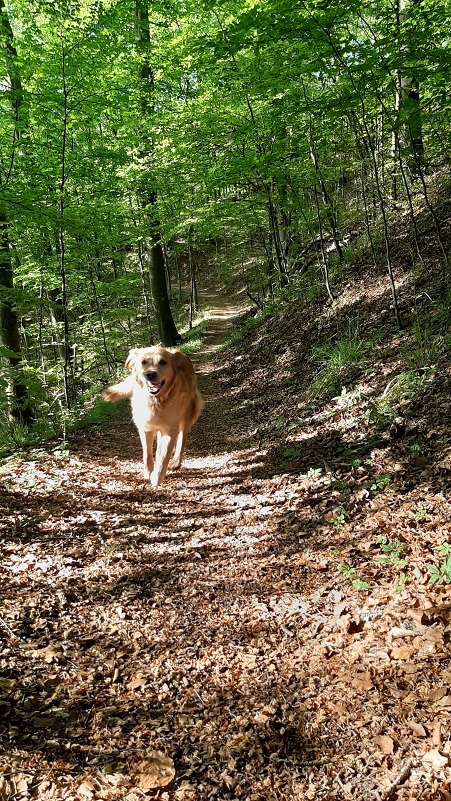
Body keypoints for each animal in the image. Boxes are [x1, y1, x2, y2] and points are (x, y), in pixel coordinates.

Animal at [103, 346, 204, 484]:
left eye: (163, 362)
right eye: (143, 362)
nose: (150, 374)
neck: (157, 400)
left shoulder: (170, 429)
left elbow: (164, 456)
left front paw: (157, 477)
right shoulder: (145, 427)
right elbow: (147, 453)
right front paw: (148, 472)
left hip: (187, 414)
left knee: (182, 438)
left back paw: (176, 462)